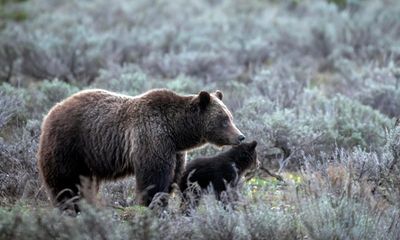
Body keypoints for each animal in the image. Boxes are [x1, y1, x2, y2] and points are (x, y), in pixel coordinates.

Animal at [37, 88, 245, 210]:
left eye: (230, 117)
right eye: (224, 120)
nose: (240, 136)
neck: (176, 132)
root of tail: (51, 111)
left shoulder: (175, 151)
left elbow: (171, 179)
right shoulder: (152, 137)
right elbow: (153, 178)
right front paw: (152, 205)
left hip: (87, 159)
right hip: (69, 145)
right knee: (65, 183)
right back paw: (69, 207)